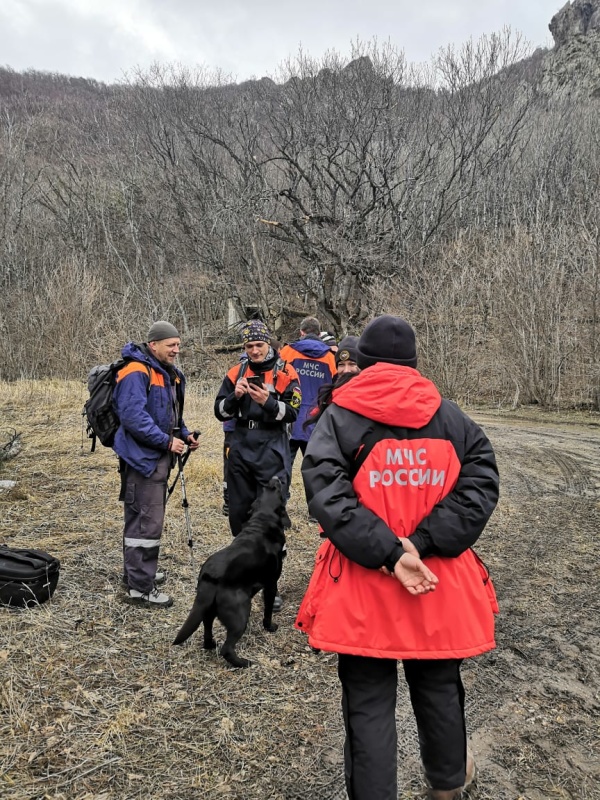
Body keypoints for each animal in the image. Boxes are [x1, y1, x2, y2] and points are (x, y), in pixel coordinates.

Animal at [172, 476, 288, 668]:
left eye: (266, 488)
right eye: (276, 489)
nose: (275, 478)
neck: (262, 521)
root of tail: (209, 576)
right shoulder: (271, 583)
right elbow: (268, 610)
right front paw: (270, 627)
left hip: (208, 609)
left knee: (207, 627)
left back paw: (210, 644)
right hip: (240, 613)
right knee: (226, 648)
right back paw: (243, 662)